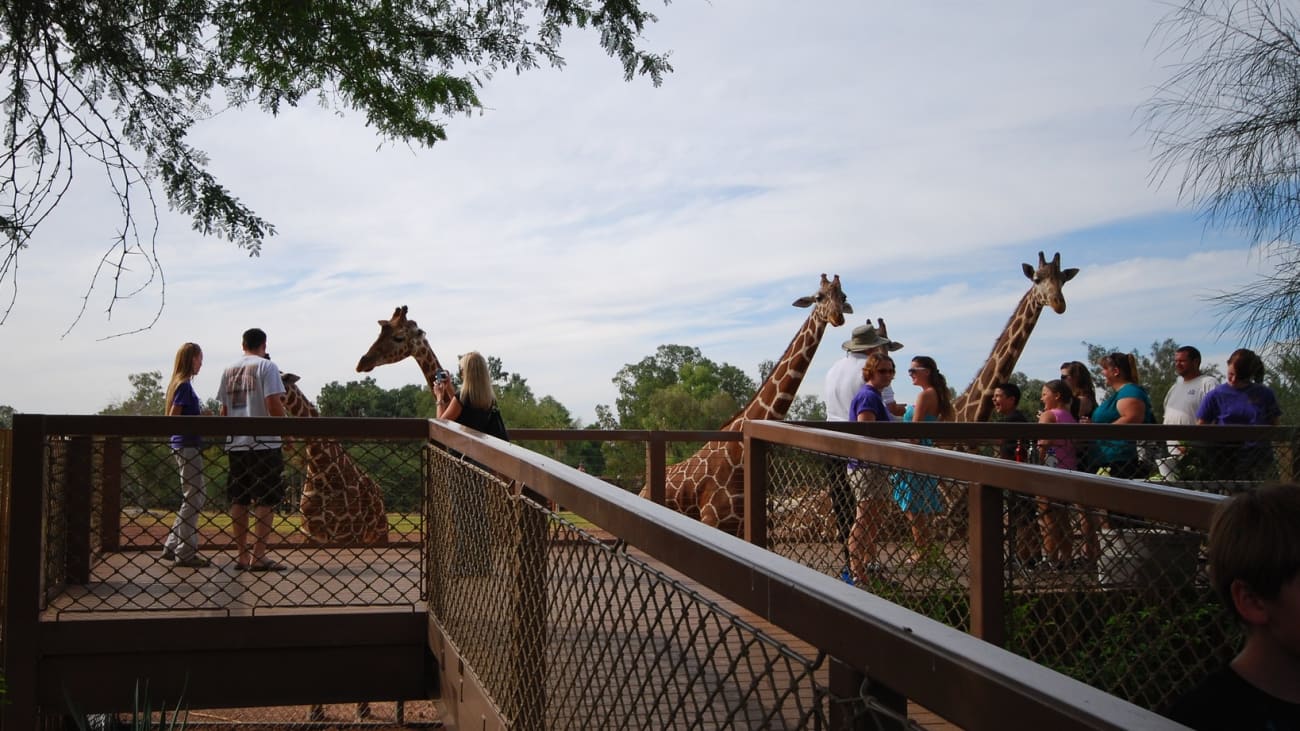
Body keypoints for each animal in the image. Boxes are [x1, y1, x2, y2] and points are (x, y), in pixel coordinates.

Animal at [647, 273, 852, 535]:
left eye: (843, 296)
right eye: (819, 297)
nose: (837, 317)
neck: (739, 455)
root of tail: (643, 486)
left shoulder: (740, 524)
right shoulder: (712, 520)